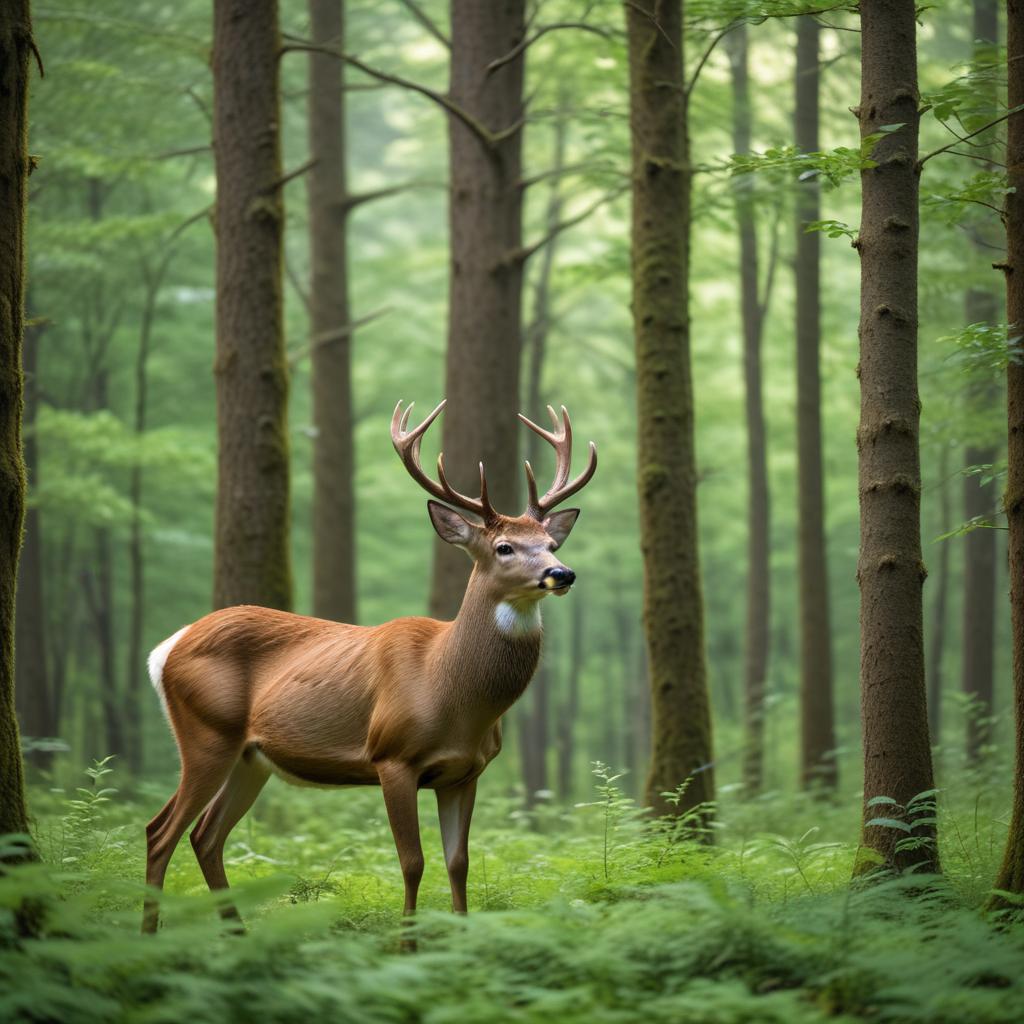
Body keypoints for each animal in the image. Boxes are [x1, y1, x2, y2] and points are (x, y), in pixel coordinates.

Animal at [142, 399, 596, 933]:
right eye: (504, 547)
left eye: (551, 543)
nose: (562, 573)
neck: (450, 689)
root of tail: (165, 648)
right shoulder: (392, 757)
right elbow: (412, 862)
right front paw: (408, 939)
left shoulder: (466, 772)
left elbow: (458, 862)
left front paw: (459, 937)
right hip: (206, 733)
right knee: (160, 831)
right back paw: (150, 937)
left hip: (250, 757)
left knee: (205, 836)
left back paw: (237, 933)